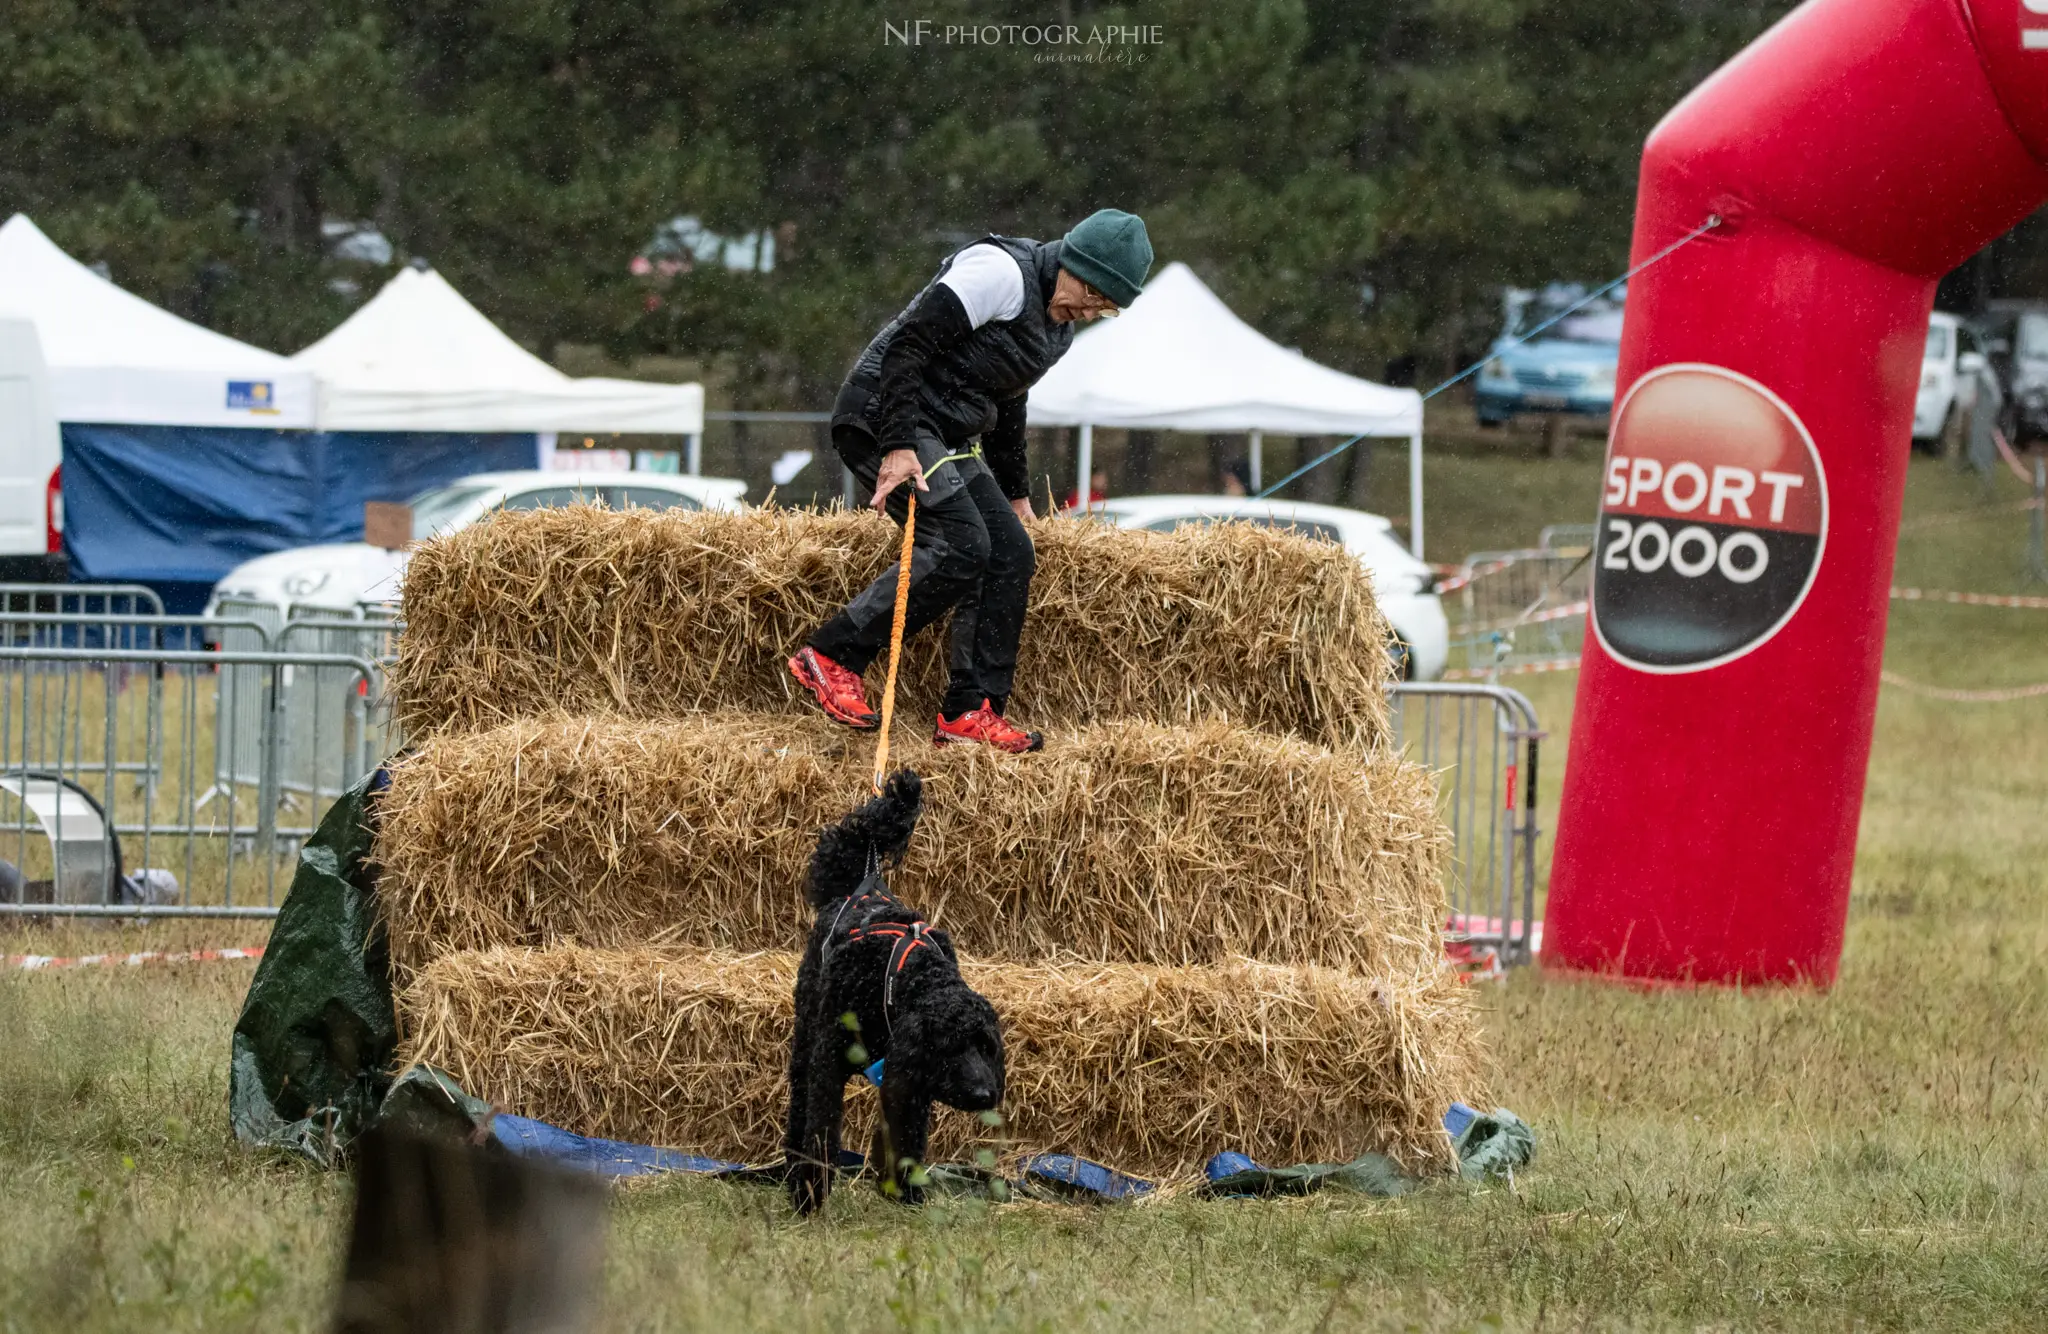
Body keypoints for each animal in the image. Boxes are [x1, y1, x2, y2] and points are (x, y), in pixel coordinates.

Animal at [782, 766, 1007, 1213]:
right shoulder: (829, 1064)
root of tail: (858, 890)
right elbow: (822, 1131)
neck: (900, 977)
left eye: (986, 1046)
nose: (983, 1093)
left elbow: (907, 1137)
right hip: (806, 1032)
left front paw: (905, 1191)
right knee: (800, 1102)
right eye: (951, 1046)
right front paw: (809, 1195)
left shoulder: (910, 1080)